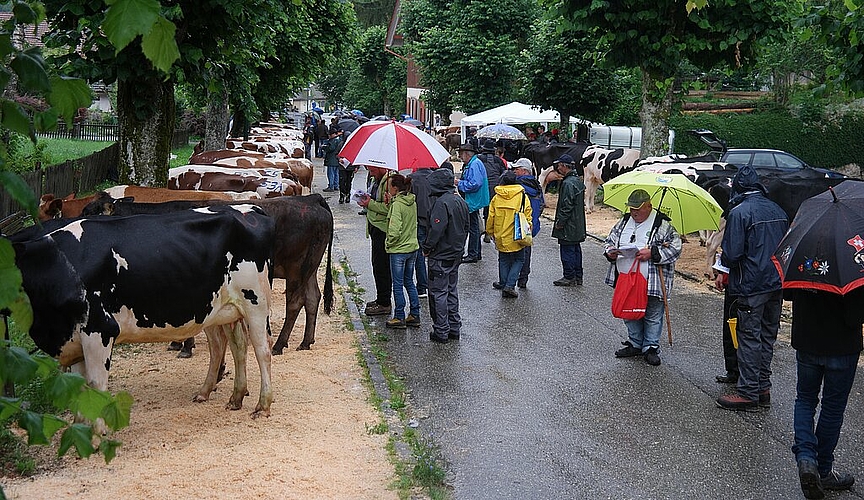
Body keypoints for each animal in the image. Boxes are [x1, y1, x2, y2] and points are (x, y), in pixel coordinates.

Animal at [11, 205, 278, 420]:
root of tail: (249, 209)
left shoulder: (100, 330)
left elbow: (96, 384)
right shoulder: (74, 338)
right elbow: (82, 388)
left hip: (256, 302)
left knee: (262, 349)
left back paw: (263, 405)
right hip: (223, 309)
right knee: (234, 346)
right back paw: (231, 397)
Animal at [78, 193, 334, 354]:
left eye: (91, 211)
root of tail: (310, 198)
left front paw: (185, 346)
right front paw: (177, 342)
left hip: (296, 268)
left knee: (296, 301)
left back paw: (281, 344)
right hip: (310, 267)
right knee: (313, 298)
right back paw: (306, 341)